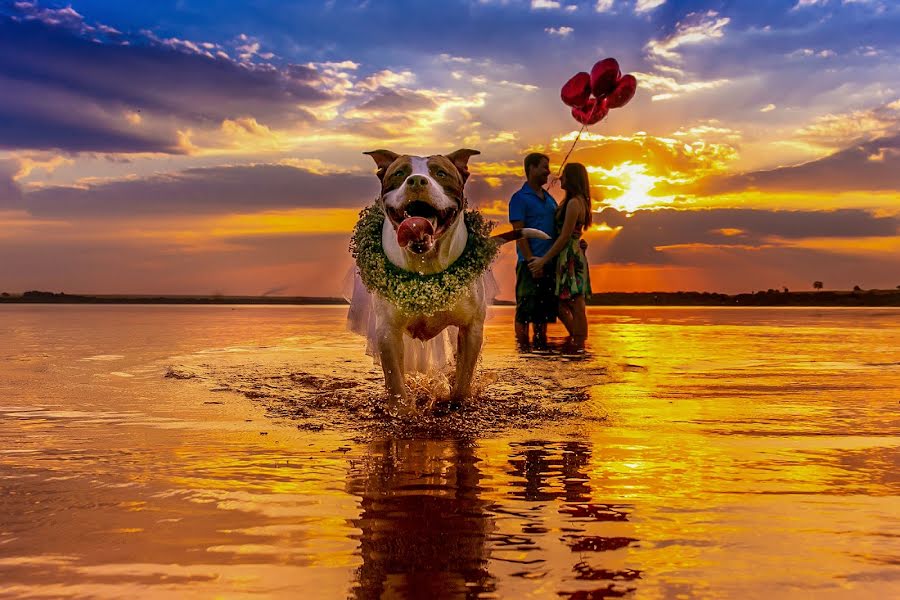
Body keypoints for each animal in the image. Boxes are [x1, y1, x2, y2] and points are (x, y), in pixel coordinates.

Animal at [360, 149, 544, 418]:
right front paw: (402, 411)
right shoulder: (388, 331)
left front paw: (458, 402)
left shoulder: (471, 329)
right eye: (399, 173)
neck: (426, 267)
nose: (416, 181)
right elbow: (395, 380)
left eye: (440, 173)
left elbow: (463, 378)